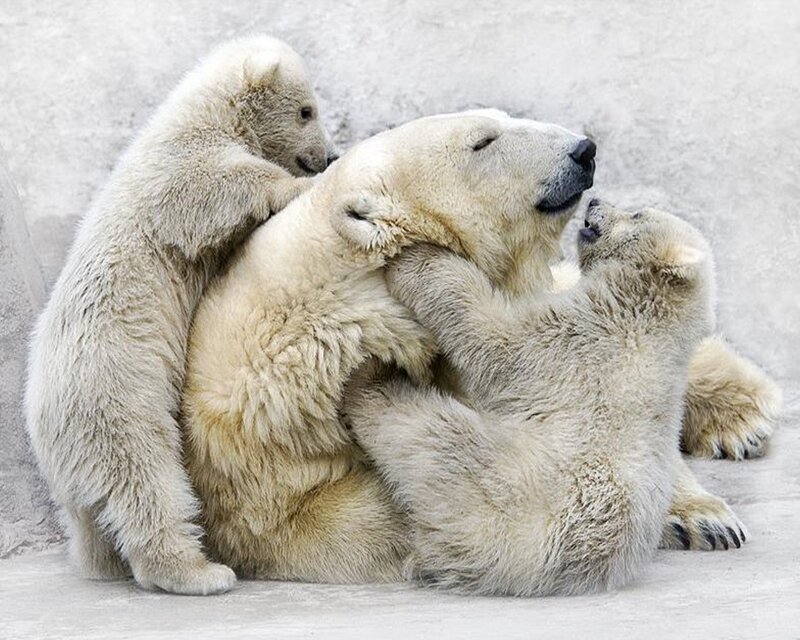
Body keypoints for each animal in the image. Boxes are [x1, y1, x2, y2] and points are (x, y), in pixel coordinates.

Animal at [24, 35, 336, 595]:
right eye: (307, 110)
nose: (328, 157)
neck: (201, 115)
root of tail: (41, 429)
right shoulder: (174, 170)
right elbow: (206, 193)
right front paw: (290, 188)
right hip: (116, 399)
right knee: (145, 482)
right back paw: (199, 572)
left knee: (95, 519)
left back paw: (102, 562)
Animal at [341, 200, 724, 595]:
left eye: (636, 215)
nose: (595, 202)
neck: (651, 315)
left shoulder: (582, 342)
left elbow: (494, 338)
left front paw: (412, 252)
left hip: (503, 484)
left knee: (425, 433)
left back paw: (371, 380)